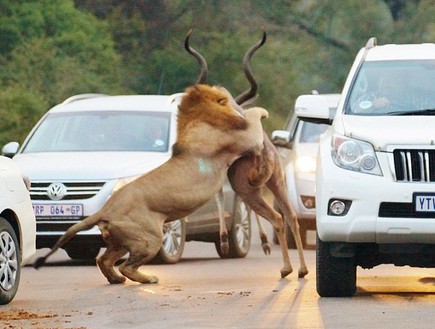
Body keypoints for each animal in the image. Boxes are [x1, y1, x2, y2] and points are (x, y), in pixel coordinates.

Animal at [35, 83, 270, 284]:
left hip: (121, 241)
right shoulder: (246, 138)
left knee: (104, 260)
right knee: (126, 266)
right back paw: (148, 278)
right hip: (151, 237)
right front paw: (261, 111)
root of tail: (105, 210)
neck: (196, 119)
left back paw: (116, 279)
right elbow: (254, 118)